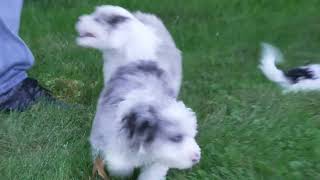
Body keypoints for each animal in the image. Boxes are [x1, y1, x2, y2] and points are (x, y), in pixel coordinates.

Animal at [75, 4, 200, 179]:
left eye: (192, 135)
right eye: (176, 138)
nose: (197, 157)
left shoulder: (158, 161)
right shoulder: (106, 141)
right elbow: (120, 165)